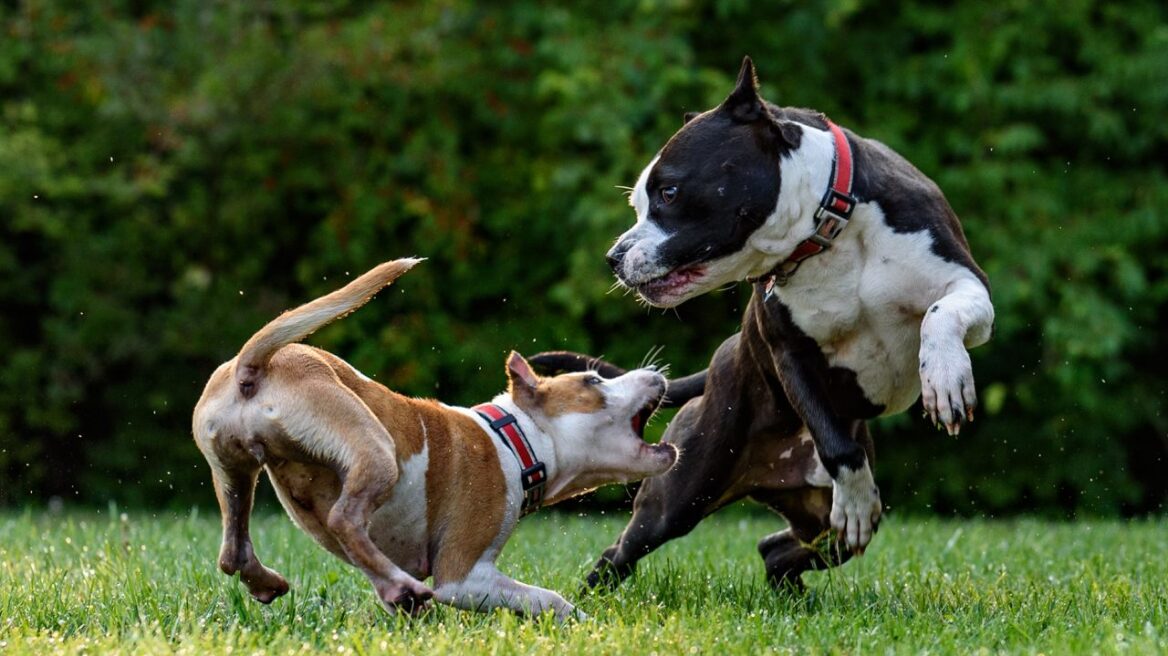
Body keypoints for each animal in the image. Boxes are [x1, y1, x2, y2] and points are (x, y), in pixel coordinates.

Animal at [191, 257, 677, 616]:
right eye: (593, 381)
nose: (657, 373)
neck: (514, 438)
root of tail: (252, 366)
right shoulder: (464, 576)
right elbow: (550, 600)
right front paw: (581, 623)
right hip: (374, 448)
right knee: (344, 518)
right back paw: (399, 584)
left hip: (234, 471)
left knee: (233, 550)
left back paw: (279, 582)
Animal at [532, 57, 995, 588]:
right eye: (639, 204)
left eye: (669, 192)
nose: (613, 257)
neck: (827, 231)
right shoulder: (789, 352)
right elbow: (836, 446)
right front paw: (857, 499)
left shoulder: (968, 284)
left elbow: (940, 314)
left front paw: (945, 377)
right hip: (681, 493)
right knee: (623, 550)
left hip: (818, 523)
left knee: (777, 548)